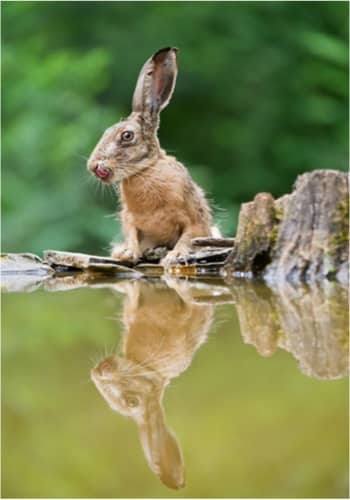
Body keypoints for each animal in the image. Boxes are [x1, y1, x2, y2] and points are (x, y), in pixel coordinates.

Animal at [87, 47, 213, 268]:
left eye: (127, 136)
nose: (92, 166)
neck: (145, 171)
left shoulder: (194, 219)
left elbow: (189, 236)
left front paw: (175, 256)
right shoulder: (129, 219)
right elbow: (132, 235)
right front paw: (126, 254)